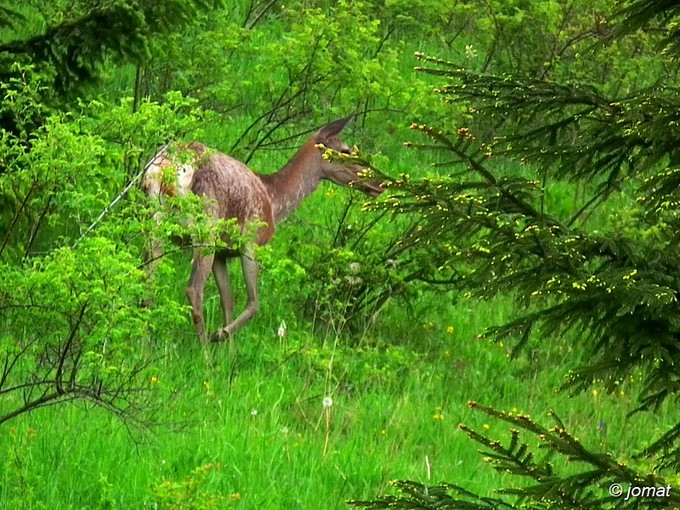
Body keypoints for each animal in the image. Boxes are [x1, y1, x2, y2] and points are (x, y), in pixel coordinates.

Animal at [143, 117, 382, 344]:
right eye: (346, 151)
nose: (380, 184)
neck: (274, 201)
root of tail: (165, 168)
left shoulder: (222, 252)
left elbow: (228, 301)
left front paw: (230, 351)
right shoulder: (252, 242)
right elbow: (253, 303)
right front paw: (219, 335)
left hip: (154, 222)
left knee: (148, 280)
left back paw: (146, 344)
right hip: (205, 226)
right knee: (194, 289)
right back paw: (204, 352)